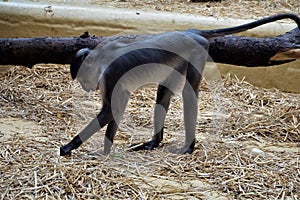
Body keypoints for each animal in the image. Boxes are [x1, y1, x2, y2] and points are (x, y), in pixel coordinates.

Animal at [59, 13, 300, 156]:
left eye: (84, 79)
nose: (86, 87)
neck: (102, 56)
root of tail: (190, 33)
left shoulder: (111, 74)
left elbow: (112, 109)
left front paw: (72, 147)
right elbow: (116, 109)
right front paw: (103, 150)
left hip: (197, 52)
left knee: (189, 94)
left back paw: (188, 147)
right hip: (179, 59)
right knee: (164, 92)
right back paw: (154, 142)